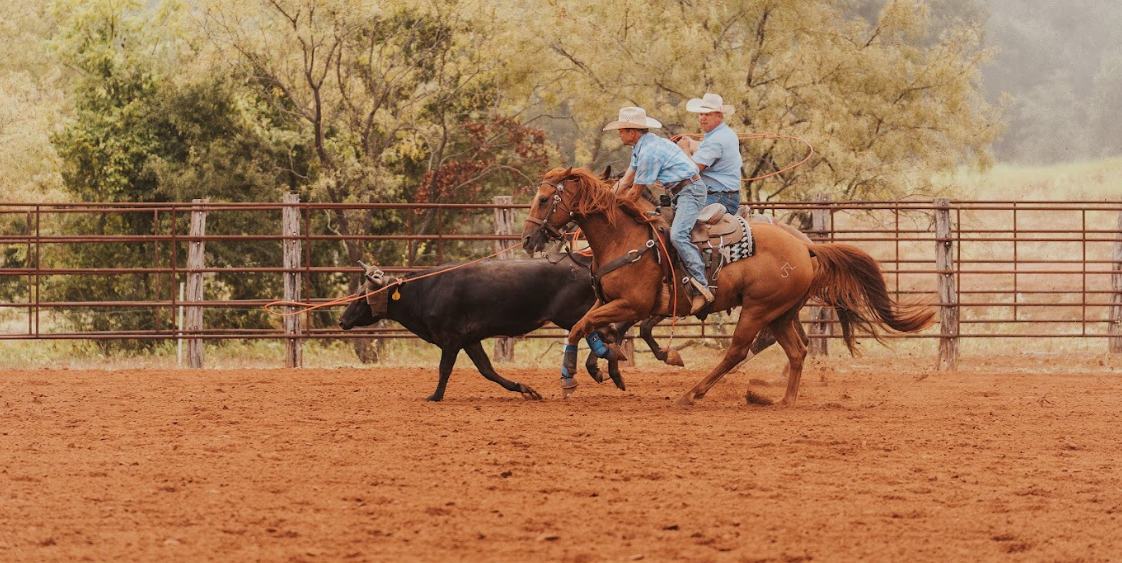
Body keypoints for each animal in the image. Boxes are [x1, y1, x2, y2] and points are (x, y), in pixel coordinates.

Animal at [520, 165, 933, 403]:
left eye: (543, 199)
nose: (527, 239)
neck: (626, 237)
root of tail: (806, 247)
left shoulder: (634, 304)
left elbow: (585, 327)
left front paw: (571, 378)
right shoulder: (614, 303)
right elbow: (592, 326)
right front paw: (606, 364)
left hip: (758, 309)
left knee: (737, 350)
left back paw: (694, 393)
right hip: (782, 313)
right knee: (797, 350)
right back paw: (783, 401)